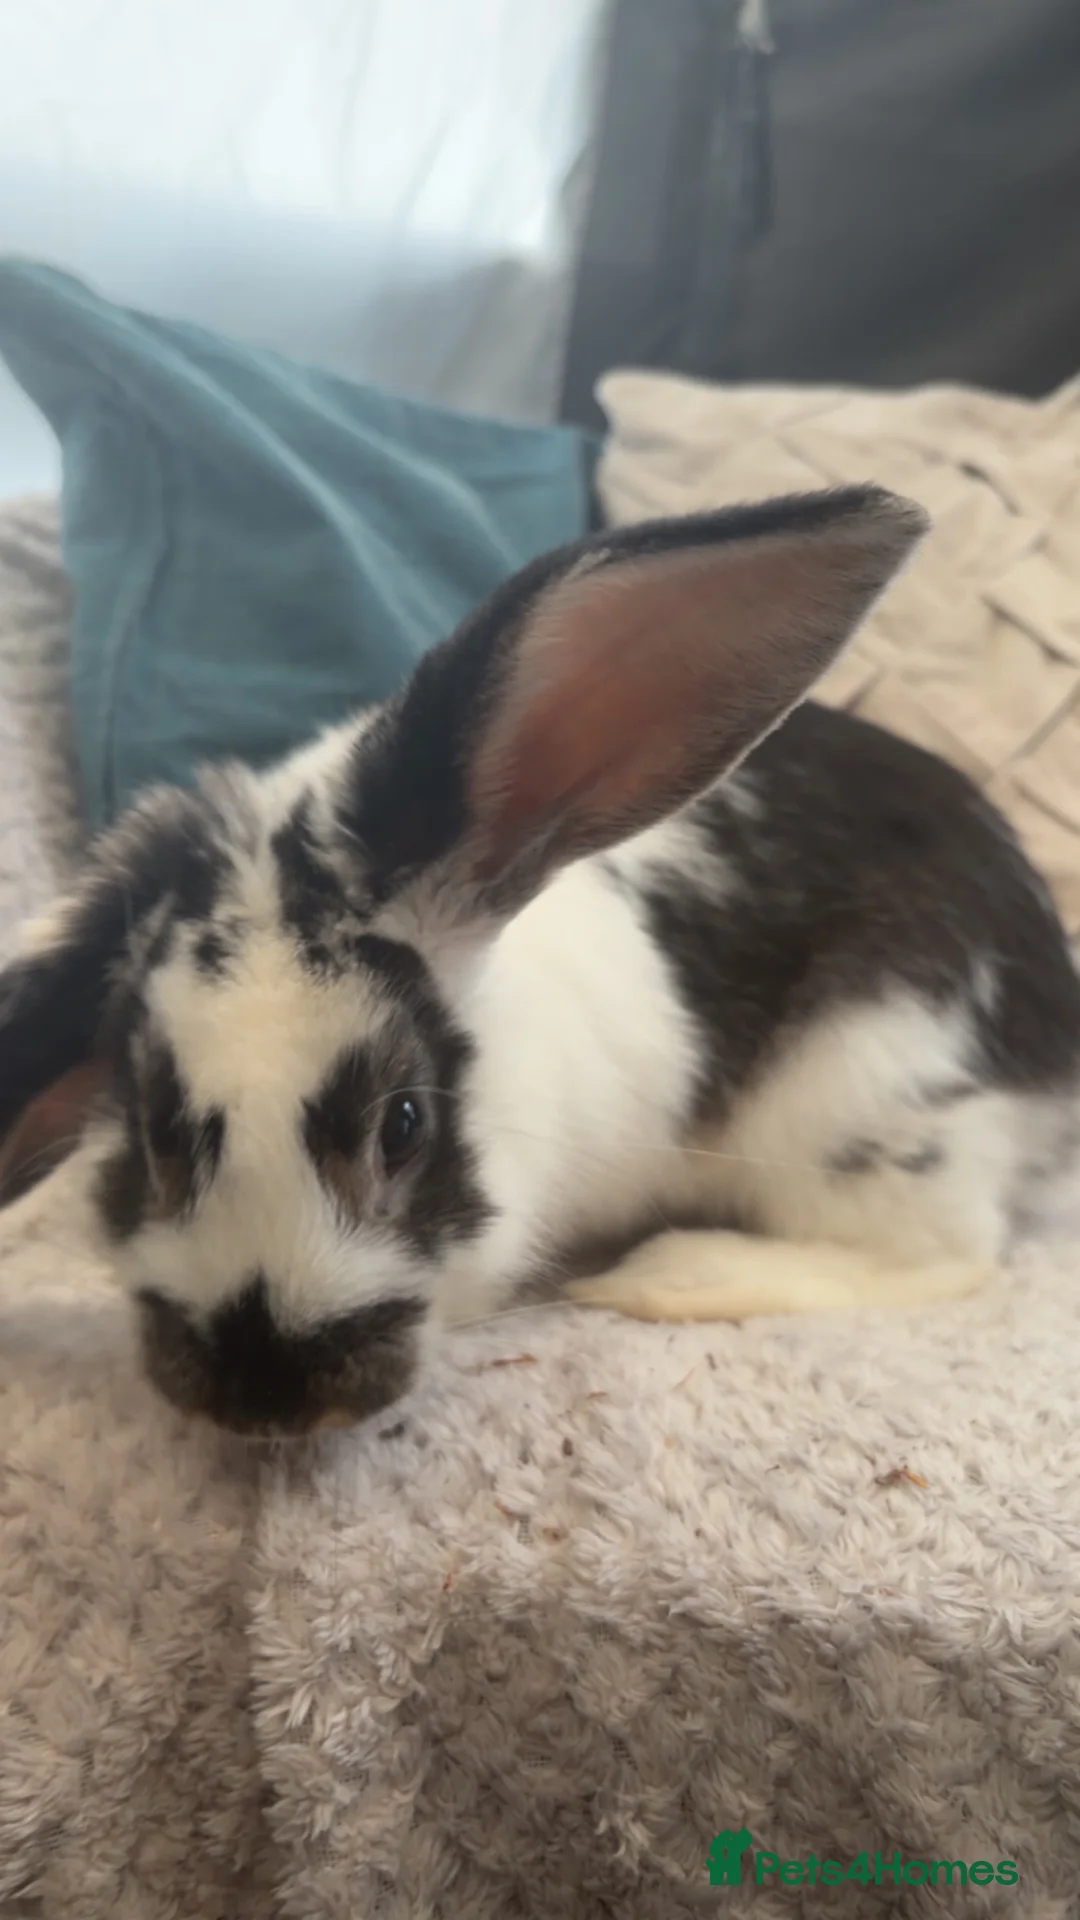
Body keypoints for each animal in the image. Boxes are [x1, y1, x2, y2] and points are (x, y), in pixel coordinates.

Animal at [0, 484, 1078, 1437]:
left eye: (404, 1124)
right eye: (150, 1132)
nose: (269, 1404)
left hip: (863, 1091)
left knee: (944, 1252)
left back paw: (670, 1275)